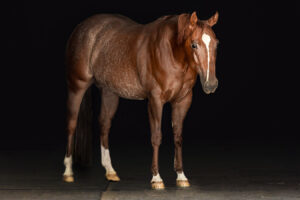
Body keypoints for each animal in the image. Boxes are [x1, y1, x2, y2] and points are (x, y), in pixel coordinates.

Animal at [62, 10, 219, 189]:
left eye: (216, 44)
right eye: (194, 44)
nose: (211, 84)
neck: (172, 53)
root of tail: (82, 27)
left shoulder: (183, 101)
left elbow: (178, 137)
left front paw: (181, 176)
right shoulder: (155, 100)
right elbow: (156, 137)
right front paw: (156, 178)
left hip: (109, 92)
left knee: (104, 125)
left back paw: (110, 171)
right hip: (77, 86)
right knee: (71, 124)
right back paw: (68, 172)